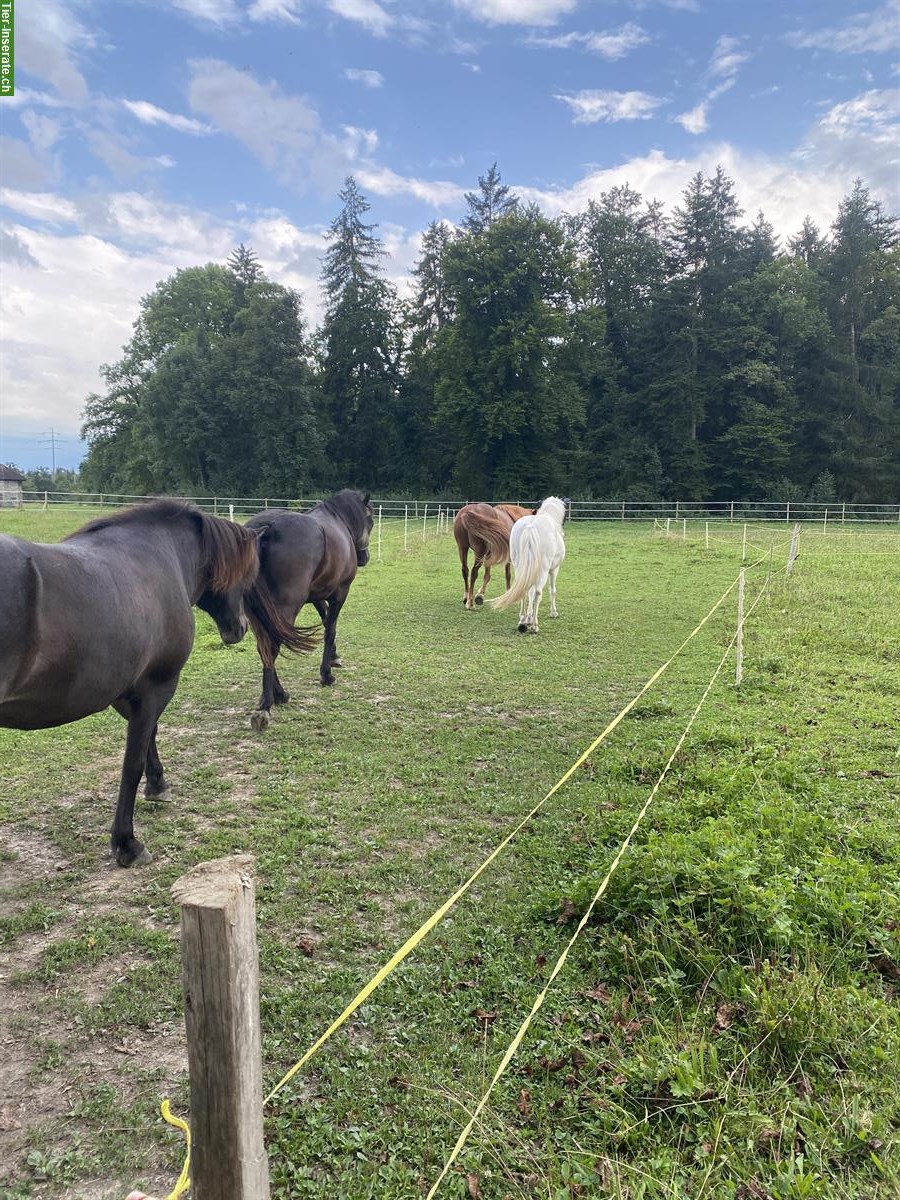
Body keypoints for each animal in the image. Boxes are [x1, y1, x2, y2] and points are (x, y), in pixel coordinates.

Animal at [0, 501, 271, 868]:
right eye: (248, 577)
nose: (239, 628)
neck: (162, 554)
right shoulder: (157, 686)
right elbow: (132, 762)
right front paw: (127, 843)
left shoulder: (128, 692)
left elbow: (149, 738)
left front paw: (157, 785)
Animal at [243, 487, 374, 729]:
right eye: (370, 518)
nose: (364, 557)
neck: (338, 520)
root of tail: (266, 529)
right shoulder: (340, 593)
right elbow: (330, 629)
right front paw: (327, 674)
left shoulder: (317, 596)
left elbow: (325, 620)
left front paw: (334, 658)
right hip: (283, 609)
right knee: (272, 646)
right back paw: (267, 704)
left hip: (258, 613)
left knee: (264, 647)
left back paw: (278, 694)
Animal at [489, 494, 566, 633]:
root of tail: (530, 527)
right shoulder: (554, 570)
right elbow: (552, 590)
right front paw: (553, 612)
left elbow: (530, 591)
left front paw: (528, 617)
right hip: (543, 570)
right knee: (538, 593)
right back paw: (534, 625)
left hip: (520, 566)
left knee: (523, 589)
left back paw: (523, 620)